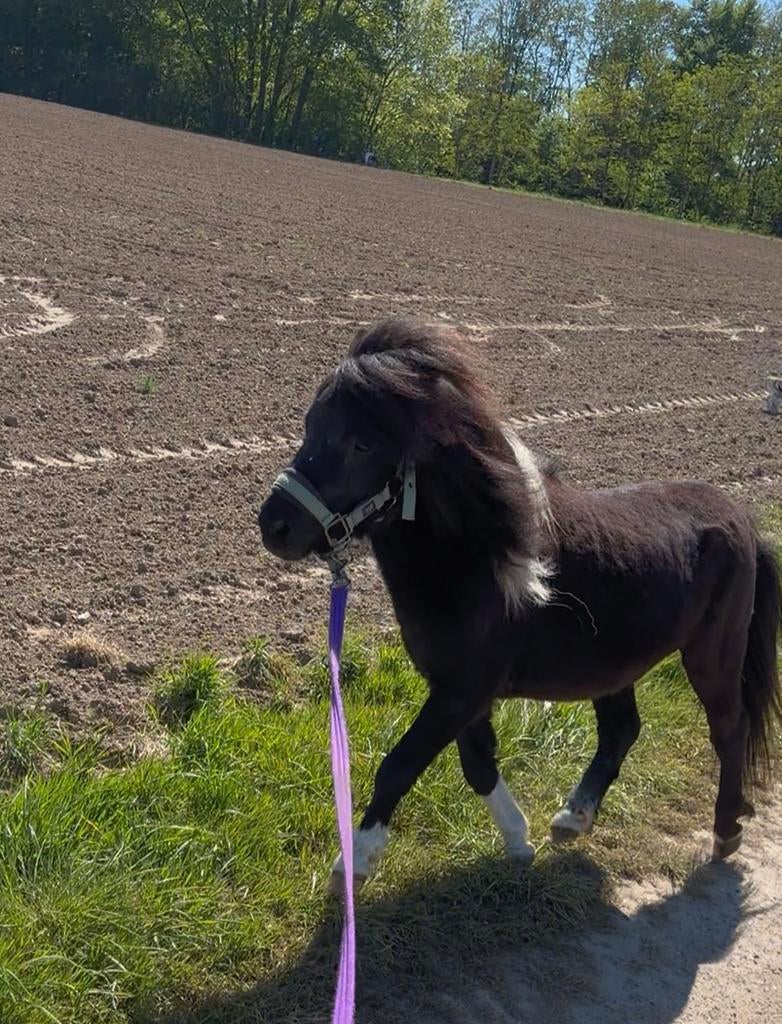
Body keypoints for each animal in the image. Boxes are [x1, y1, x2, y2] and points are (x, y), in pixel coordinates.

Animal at [258, 319, 781, 887]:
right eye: (309, 425)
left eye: (361, 443)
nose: (274, 526)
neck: (472, 558)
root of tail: (744, 520)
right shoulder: (458, 690)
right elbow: (477, 764)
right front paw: (519, 841)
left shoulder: (463, 690)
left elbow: (400, 763)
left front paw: (355, 861)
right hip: (609, 666)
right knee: (622, 729)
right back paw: (573, 818)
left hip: (713, 655)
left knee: (729, 728)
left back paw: (726, 830)